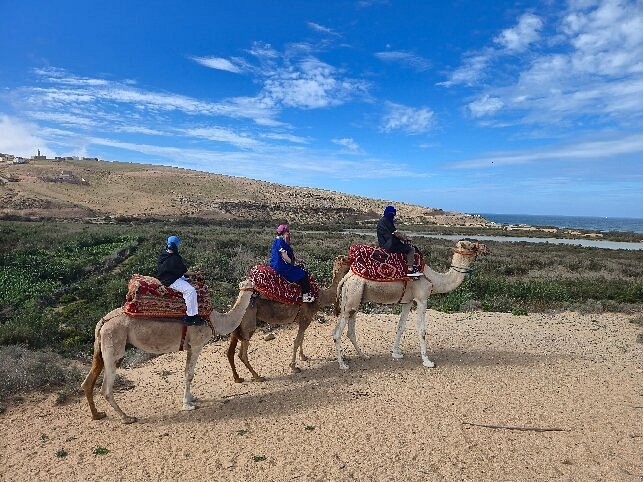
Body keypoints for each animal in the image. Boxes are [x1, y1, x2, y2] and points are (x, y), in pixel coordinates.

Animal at [81, 279, 254, 424]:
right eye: (253, 281)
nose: (256, 290)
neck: (215, 320)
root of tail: (102, 322)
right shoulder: (197, 344)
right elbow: (190, 374)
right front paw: (188, 405)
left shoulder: (189, 346)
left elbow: (187, 372)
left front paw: (191, 398)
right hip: (114, 345)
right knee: (106, 388)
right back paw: (126, 417)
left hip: (101, 348)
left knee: (88, 381)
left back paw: (97, 414)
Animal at [333, 240, 489, 369]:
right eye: (472, 246)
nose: (485, 248)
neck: (434, 280)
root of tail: (347, 277)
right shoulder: (422, 299)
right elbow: (422, 330)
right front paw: (427, 361)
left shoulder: (407, 301)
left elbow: (401, 326)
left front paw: (396, 353)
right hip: (352, 296)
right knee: (337, 333)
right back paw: (342, 364)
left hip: (354, 299)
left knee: (350, 331)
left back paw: (364, 355)